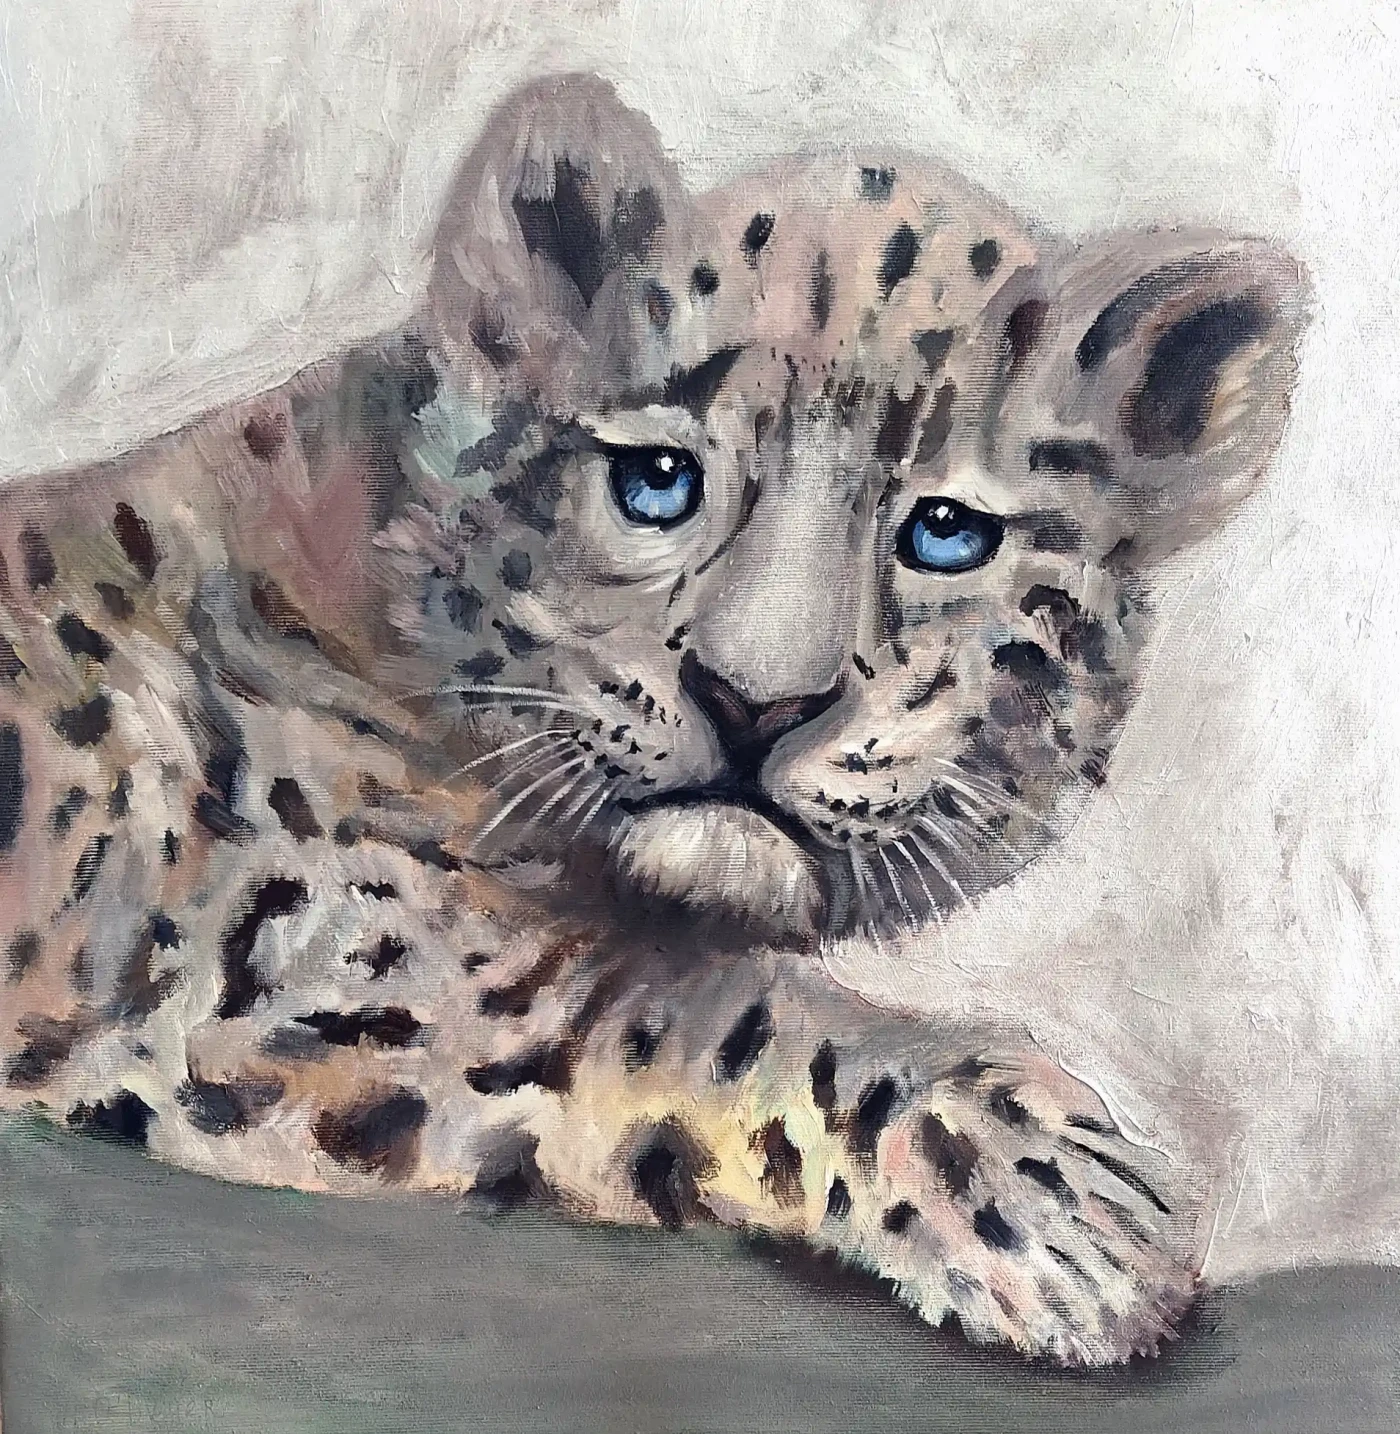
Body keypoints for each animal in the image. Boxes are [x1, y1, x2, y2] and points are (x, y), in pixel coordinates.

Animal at [0, 72, 1309, 1366]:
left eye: (946, 533)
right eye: (657, 480)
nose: (755, 701)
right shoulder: (306, 958)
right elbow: (686, 1013)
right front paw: (1065, 1203)